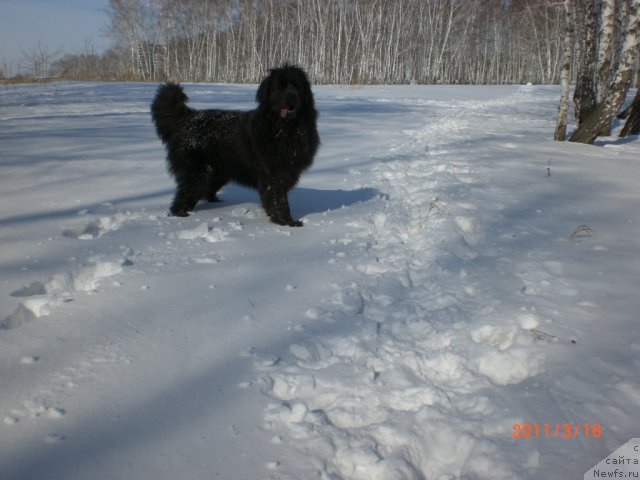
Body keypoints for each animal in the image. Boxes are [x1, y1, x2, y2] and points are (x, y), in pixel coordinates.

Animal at [151, 64, 320, 227]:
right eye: (280, 86)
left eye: (297, 86)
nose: (292, 96)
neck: (284, 129)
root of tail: (188, 117)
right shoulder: (274, 174)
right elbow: (279, 200)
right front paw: (287, 222)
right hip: (200, 171)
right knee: (185, 194)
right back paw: (181, 214)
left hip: (218, 171)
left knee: (206, 190)